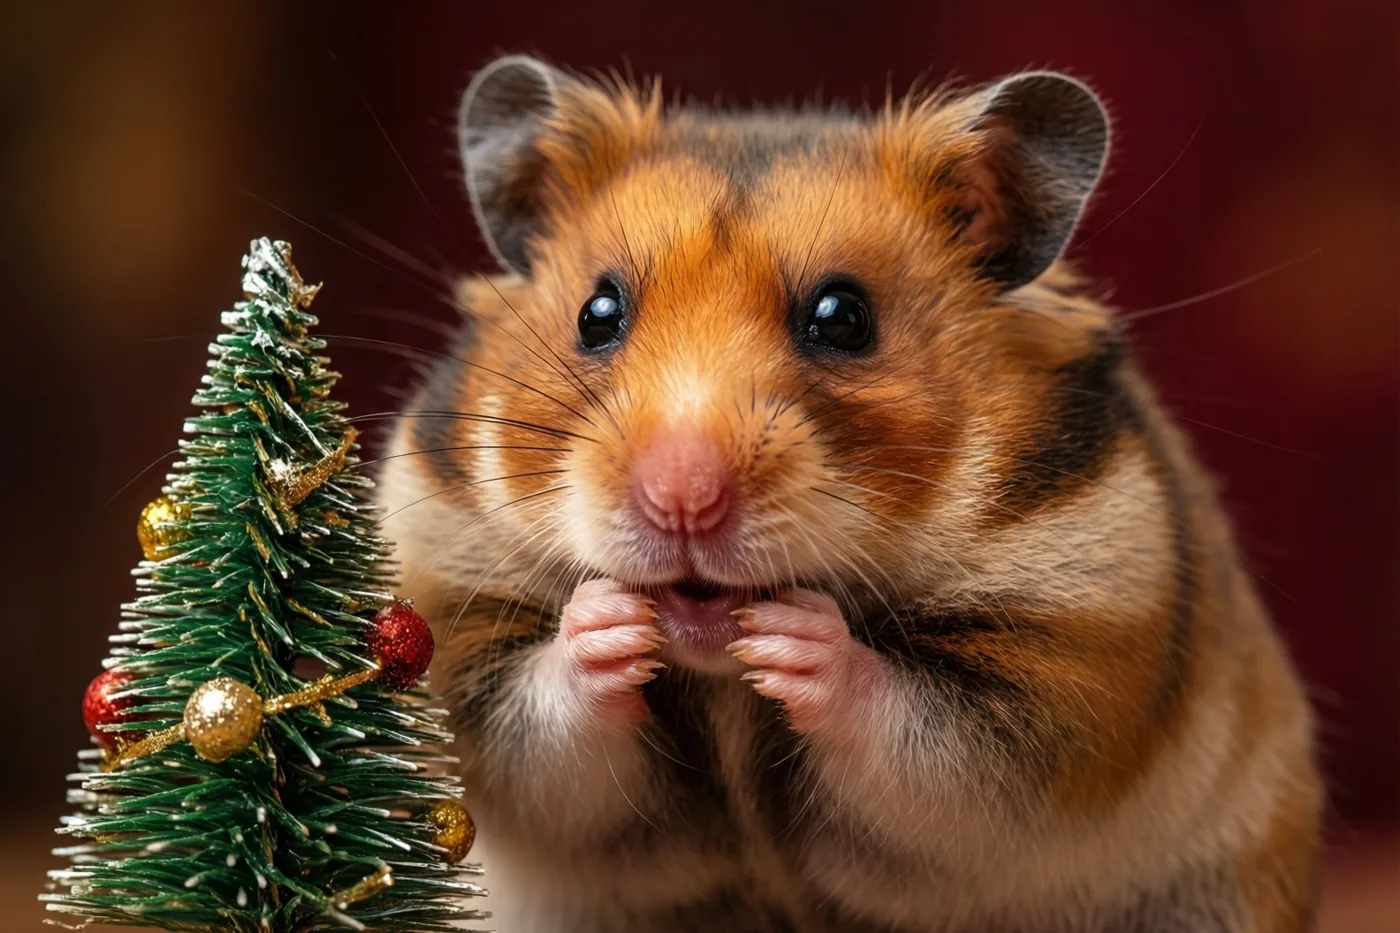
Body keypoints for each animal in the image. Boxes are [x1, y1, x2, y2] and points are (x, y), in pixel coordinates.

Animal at [376, 55, 1323, 933]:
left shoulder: (1071, 659)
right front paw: (604, 623)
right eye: (596, 314)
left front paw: (799, 638)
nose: (681, 500)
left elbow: (921, 744)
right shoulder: (459, 615)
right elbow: (537, 737)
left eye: (843, 318)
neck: (721, 678)